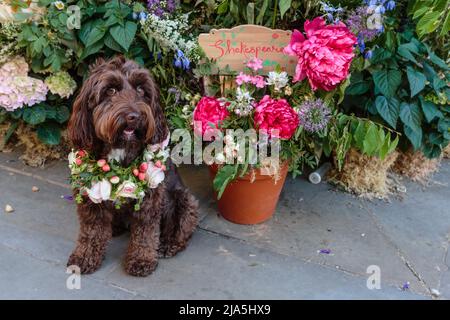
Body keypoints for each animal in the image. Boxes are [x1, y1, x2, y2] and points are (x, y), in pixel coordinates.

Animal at [66, 56, 199, 276]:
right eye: (110, 90)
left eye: (141, 90)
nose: (134, 116)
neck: (120, 147)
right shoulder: (89, 195)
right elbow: (92, 230)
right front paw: (84, 257)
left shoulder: (150, 198)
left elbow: (146, 231)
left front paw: (142, 259)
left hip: (185, 200)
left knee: (182, 231)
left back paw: (169, 244)